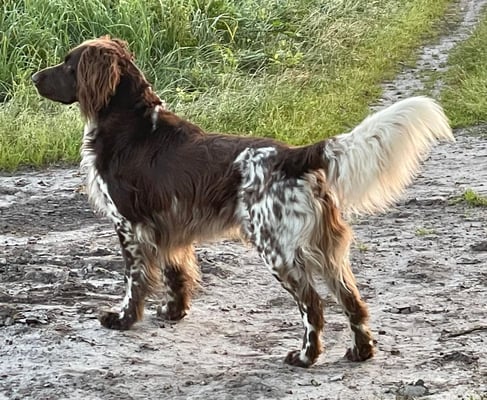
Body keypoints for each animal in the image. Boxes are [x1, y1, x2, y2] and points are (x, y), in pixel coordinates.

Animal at [32, 36, 454, 368]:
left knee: (314, 306)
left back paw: (305, 357)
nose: (34, 78)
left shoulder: (131, 224)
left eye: (68, 63)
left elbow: (134, 280)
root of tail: (294, 155)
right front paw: (173, 311)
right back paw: (361, 352)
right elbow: (175, 273)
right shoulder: (168, 224)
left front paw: (123, 318)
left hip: (277, 249)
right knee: (354, 301)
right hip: (327, 250)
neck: (133, 124)